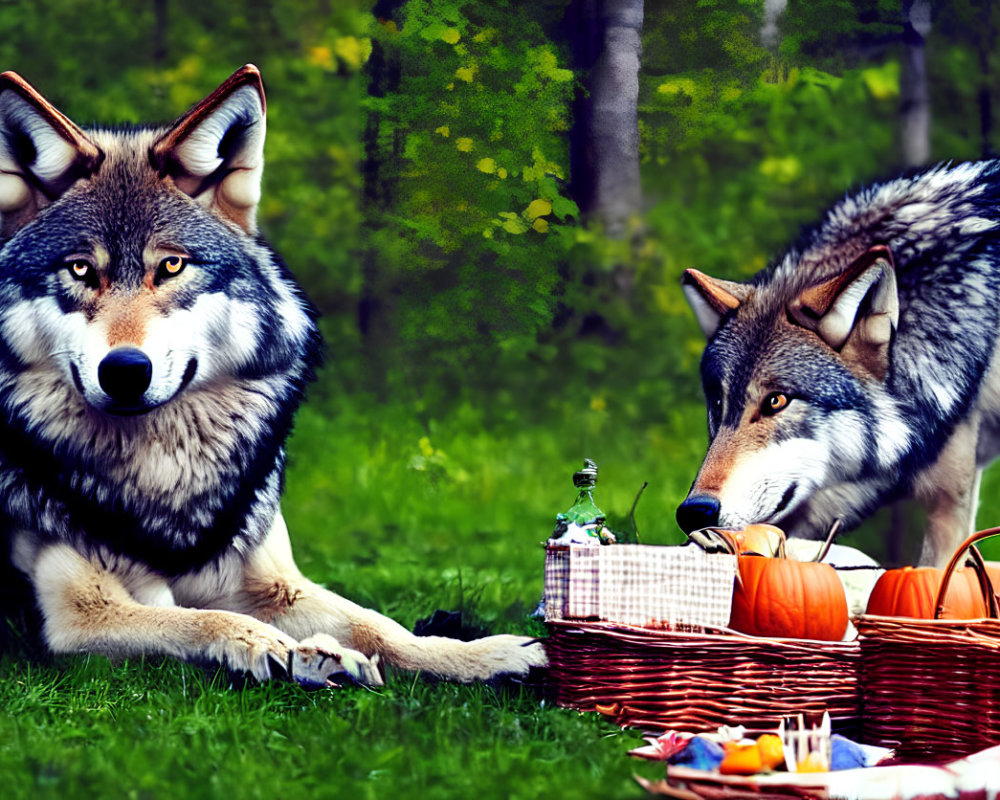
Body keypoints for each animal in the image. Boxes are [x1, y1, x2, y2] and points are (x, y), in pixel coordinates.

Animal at [0, 65, 548, 684]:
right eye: (79, 269)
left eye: (171, 265)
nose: (124, 372)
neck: (163, 481)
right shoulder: (80, 615)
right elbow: (204, 620)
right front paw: (293, 650)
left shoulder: (278, 584)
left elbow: (382, 626)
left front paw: (485, 654)